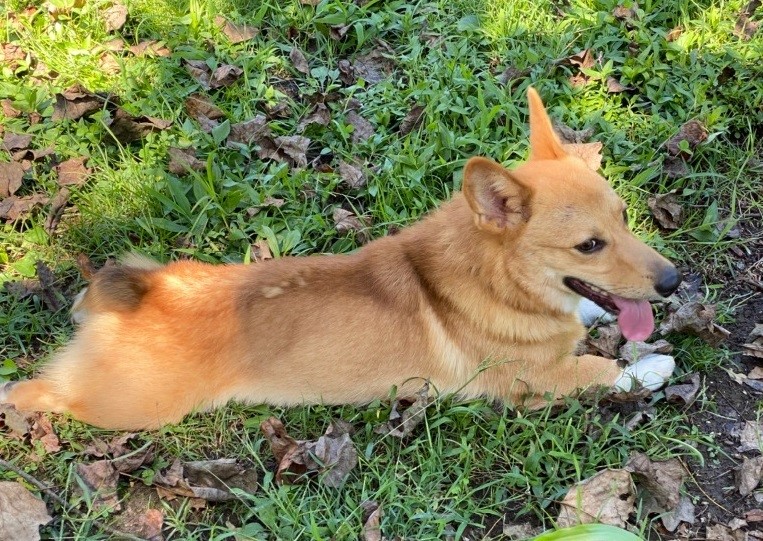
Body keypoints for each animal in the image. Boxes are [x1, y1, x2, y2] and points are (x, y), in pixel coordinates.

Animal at [0, 88, 680, 428]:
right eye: (589, 245)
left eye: (624, 217)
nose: (676, 282)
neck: (496, 279)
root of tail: (129, 299)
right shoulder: (530, 381)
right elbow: (599, 371)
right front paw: (650, 367)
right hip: (133, 410)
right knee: (39, 391)